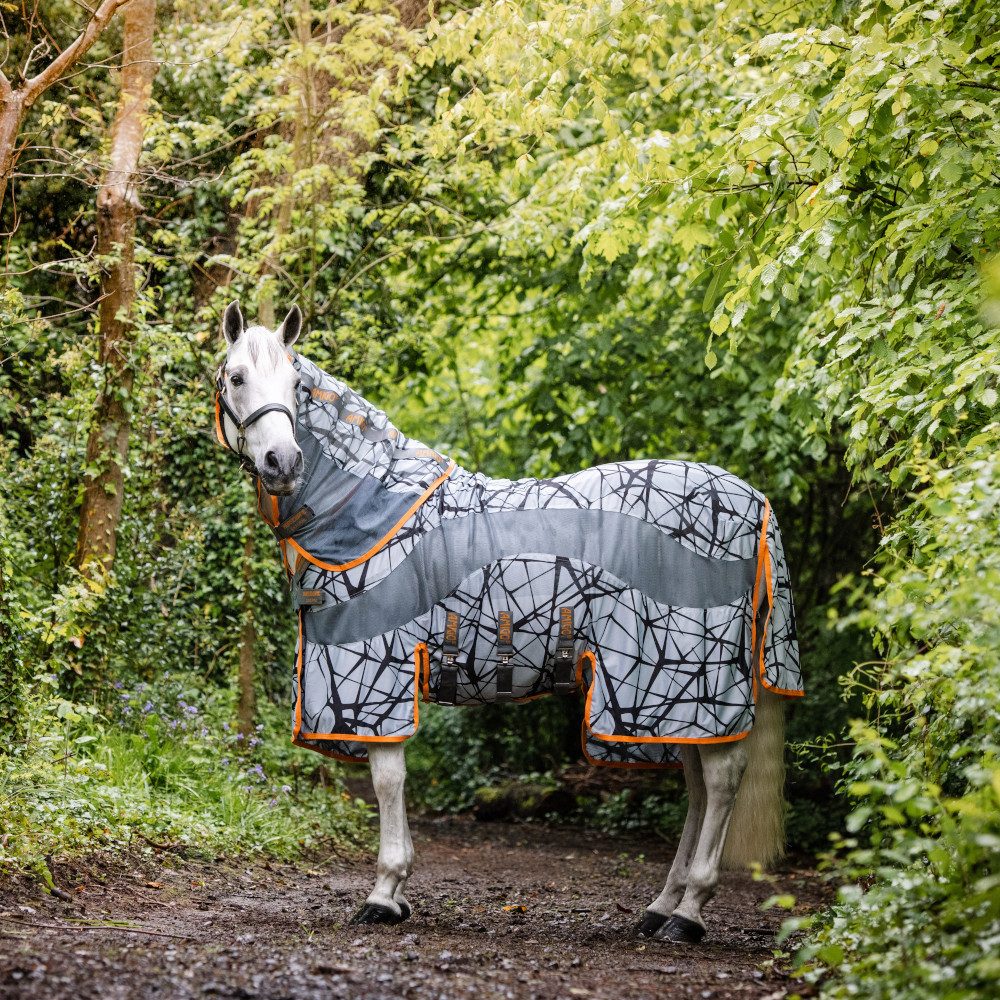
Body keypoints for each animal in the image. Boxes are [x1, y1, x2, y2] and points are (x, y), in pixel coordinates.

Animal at [212, 299, 803, 944]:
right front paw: (397, 892)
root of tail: (753, 499)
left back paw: (689, 912)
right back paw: (661, 907)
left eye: (294, 383)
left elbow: (388, 781)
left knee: (719, 782)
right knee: (697, 785)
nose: (283, 461)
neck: (371, 510)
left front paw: (384, 894)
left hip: (685, 679)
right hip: (675, 700)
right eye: (237, 377)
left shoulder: (377, 681)